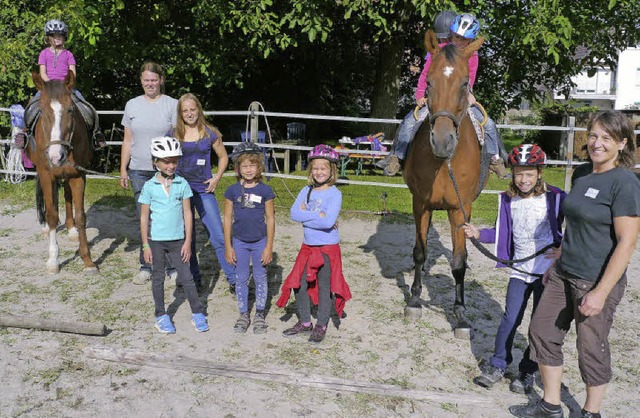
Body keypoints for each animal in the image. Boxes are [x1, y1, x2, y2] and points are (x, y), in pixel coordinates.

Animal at [25, 72, 96, 274]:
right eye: (42, 111)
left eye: (71, 110)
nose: (56, 156)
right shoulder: (47, 175)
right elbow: (52, 215)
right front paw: (53, 260)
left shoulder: (78, 175)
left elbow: (81, 216)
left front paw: (87, 260)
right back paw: (44, 226)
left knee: (66, 195)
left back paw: (71, 230)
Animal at [402, 30, 488, 336]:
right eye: (428, 82)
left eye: (465, 83)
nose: (442, 141)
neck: (444, 163)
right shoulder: (420, 204)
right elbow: (419, 252)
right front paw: (415, 300)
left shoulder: (460, 211)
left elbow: (459, 262)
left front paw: (460, 314)